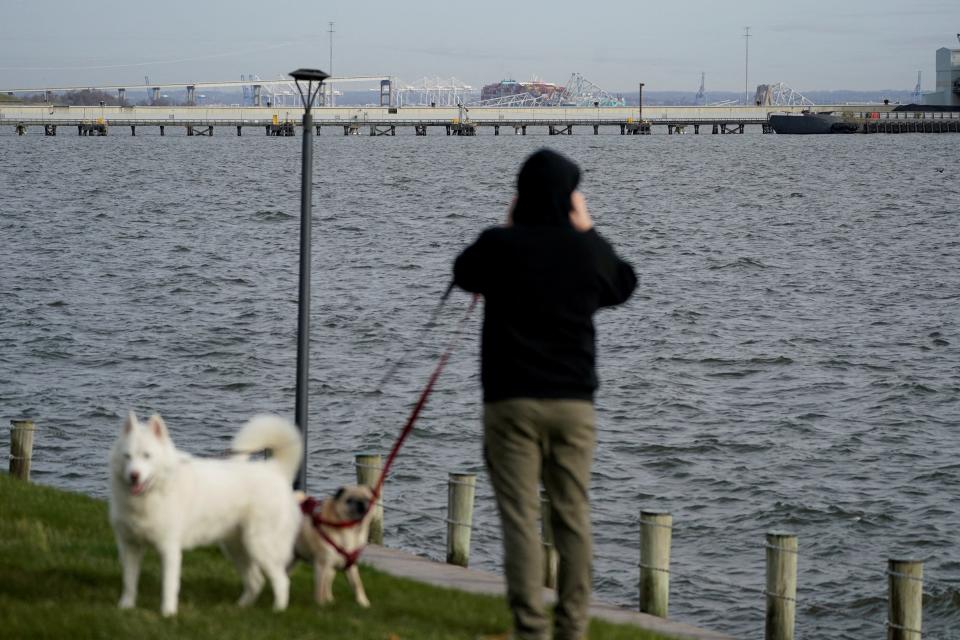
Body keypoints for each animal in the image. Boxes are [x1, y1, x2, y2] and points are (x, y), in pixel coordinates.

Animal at [109, 410, 304, 616]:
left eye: (147, 456)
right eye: (127, 456)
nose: (134, 475)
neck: (151, 495)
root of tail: (274, 469)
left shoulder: (169, 549)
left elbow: (169, 585)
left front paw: (168, 613)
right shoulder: (129, 546)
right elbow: (129, 582)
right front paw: (125, 607)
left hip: (259, 545)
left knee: (281, 581)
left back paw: (277, 610)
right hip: (236, 548)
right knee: (256, 581)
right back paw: (239, 607)